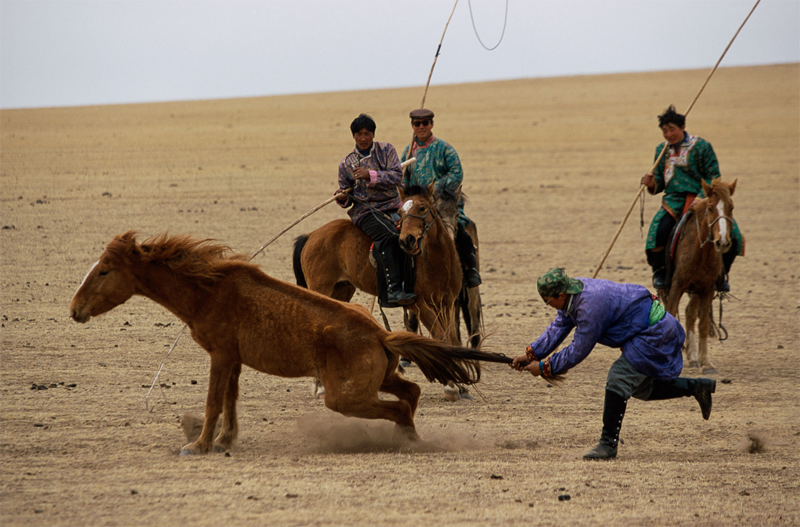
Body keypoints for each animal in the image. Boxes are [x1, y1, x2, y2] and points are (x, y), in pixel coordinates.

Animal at [69, 231, 513, 454]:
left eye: (104, 271)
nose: (75, 309)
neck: (208, 290)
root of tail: (380, 333)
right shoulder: (233, 360)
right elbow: (230, 401)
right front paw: (226, 440)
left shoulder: (220, 355)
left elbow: (213, 401)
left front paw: (198, 444)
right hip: (376, 381)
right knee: (412, 393)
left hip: (344, 396)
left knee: (402, 406)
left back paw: (410, 442)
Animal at [661, 178, 737, 374]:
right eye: (710, 208)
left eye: (731, 207)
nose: (722, 242)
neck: (701, 251)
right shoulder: (677, 284)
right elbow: (671, 314)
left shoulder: (707, 288)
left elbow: (702, 324)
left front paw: (706, 363)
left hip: (696, 288)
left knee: (690, 314)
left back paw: (693, 357)